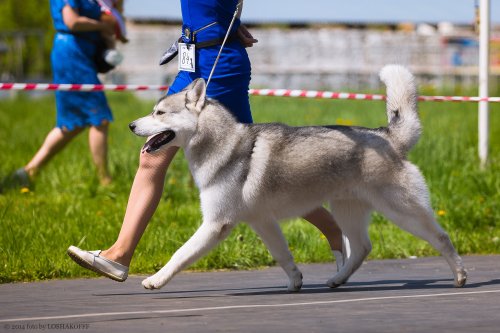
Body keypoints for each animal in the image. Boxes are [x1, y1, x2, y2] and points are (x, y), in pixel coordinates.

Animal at [131, 65, 466, 290]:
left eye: (159, 113)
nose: (131, 125)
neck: (222, 143)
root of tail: (387, 136)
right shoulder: (262, 221)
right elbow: (283, 256)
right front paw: (295, 281)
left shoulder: (216, 224)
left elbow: (180, 255)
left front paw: (155, 279)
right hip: (347, 211)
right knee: (361, 248)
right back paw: (337, 278)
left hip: (401, 211)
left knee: (441, 237)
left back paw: (460, 276)